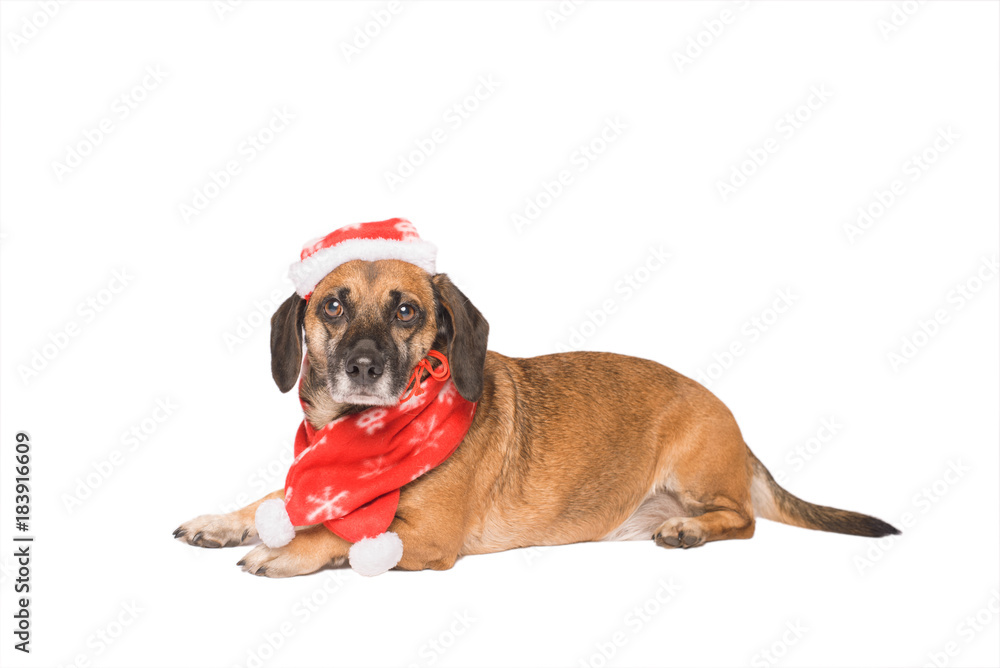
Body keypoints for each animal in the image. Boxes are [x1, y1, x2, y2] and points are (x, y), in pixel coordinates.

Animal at [176, 253, 904, 576]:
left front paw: (286, 549)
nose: (362, 366)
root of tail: (731, 418)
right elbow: (269, 502)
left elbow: (340, 529)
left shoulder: (428, 536)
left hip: (698, 470)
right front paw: (223, 523)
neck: (362, 438)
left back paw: (690, 531)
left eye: (406, 310)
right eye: (333, 305)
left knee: (744, 521)